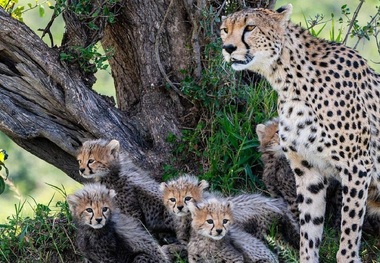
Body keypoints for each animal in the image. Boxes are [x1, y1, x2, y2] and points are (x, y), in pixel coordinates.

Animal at [221, 4, 380, 263]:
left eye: (250, 27)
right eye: (225, 30)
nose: (228, 48)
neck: (289, 82)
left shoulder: (357, 167)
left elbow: (349, 230)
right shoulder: (308, 171)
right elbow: (310, 229)